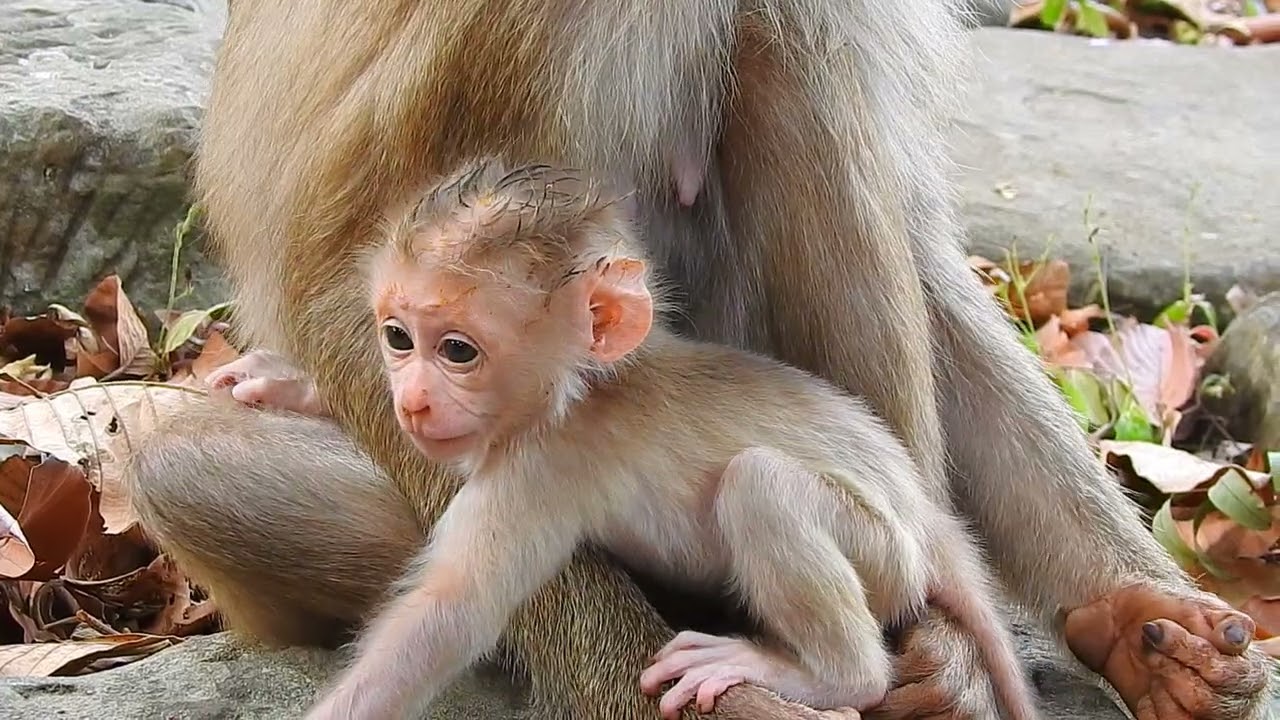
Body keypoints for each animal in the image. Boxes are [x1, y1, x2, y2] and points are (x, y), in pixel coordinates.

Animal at [283, 159, 1041, 720]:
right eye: (398, 338)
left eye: (458, 351)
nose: (412, 399)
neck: (574, 389)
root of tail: (921, 510)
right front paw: (289, 386)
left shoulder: (540, 468)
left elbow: (448, 618)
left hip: (883, 554)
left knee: (761, 487)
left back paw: (830, 677)